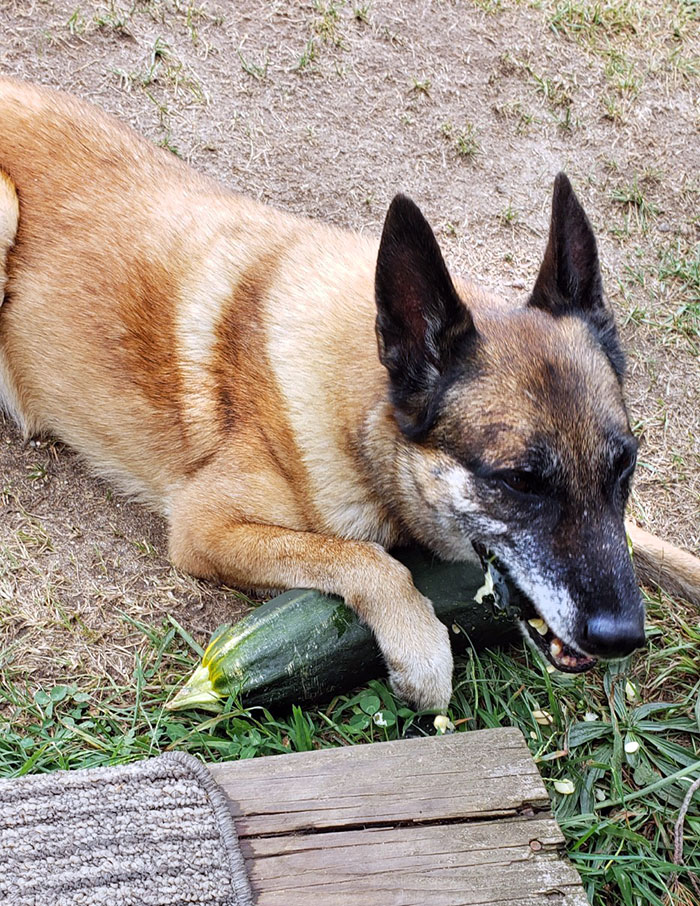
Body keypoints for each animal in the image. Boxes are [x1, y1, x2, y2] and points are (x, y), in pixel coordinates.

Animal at [0, 79, 692, 708]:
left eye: (625, 466)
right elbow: (365, 558)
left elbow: (651, 542)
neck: (361, 401)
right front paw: (423, 651)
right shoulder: (207, 528)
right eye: (519, 481)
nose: (623, 638)